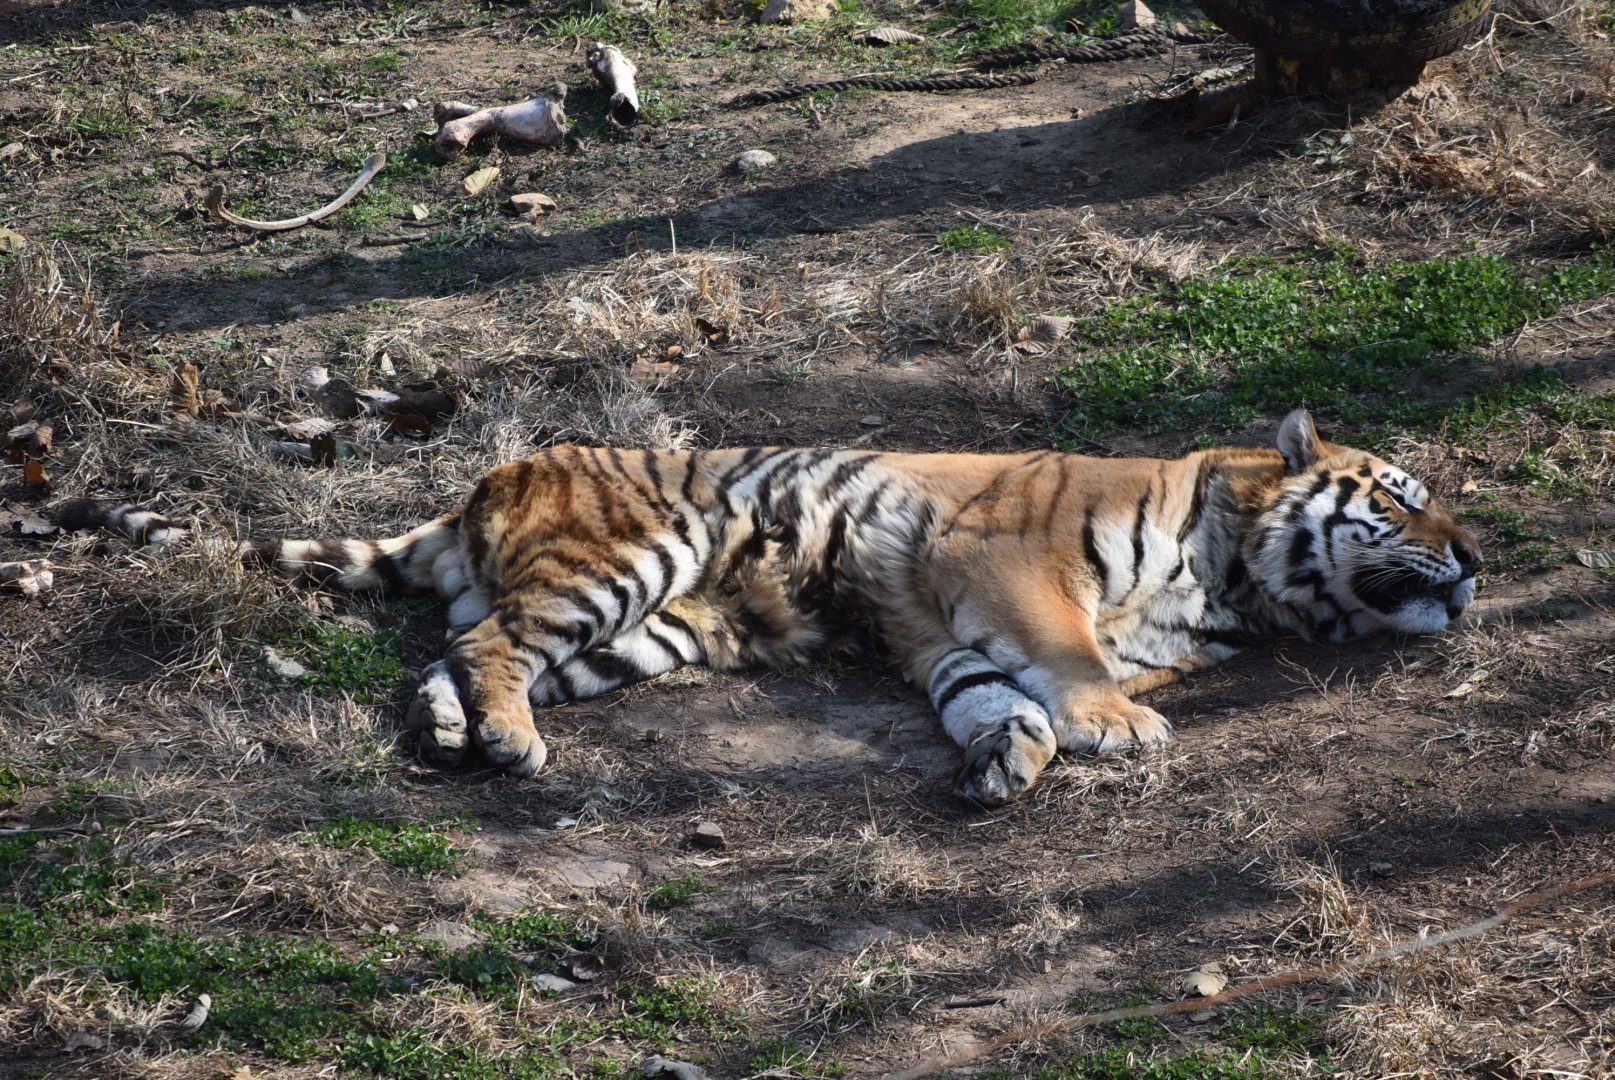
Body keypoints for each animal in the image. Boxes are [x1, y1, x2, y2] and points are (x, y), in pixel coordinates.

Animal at [55, 408, 1481, 805]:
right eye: (1401, 500)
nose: (1473, 560)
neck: (1238, 577)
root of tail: (491, 475)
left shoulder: (933, 633)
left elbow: (985, 696)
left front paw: (1004, 760)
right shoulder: (1009, 565)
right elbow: (1065, 659)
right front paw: (1109, 727)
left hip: (638, 635)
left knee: (453, 650)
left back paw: (457, 732)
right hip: (628, 563)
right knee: (484, 638)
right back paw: (506, 742)